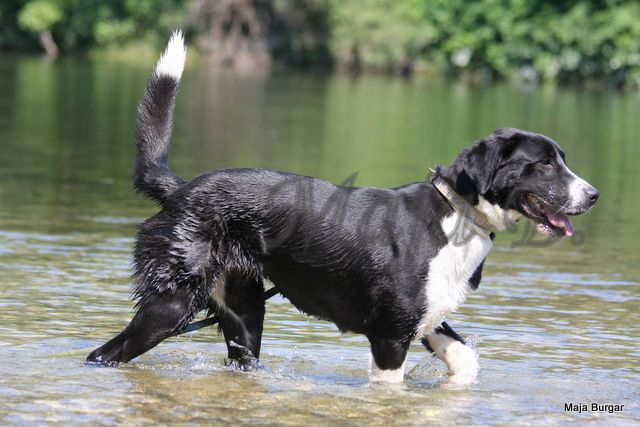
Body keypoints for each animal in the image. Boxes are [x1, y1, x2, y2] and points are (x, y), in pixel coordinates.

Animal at [87, 31, 596, 386]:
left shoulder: (422, 318)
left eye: (561, 159)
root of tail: (181, 189)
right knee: (103, 355)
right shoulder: (390, 335)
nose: (593, 195)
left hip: (244, 315)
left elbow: (465, 361)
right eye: (544, 164)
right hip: (171, 305)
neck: (456, 217)